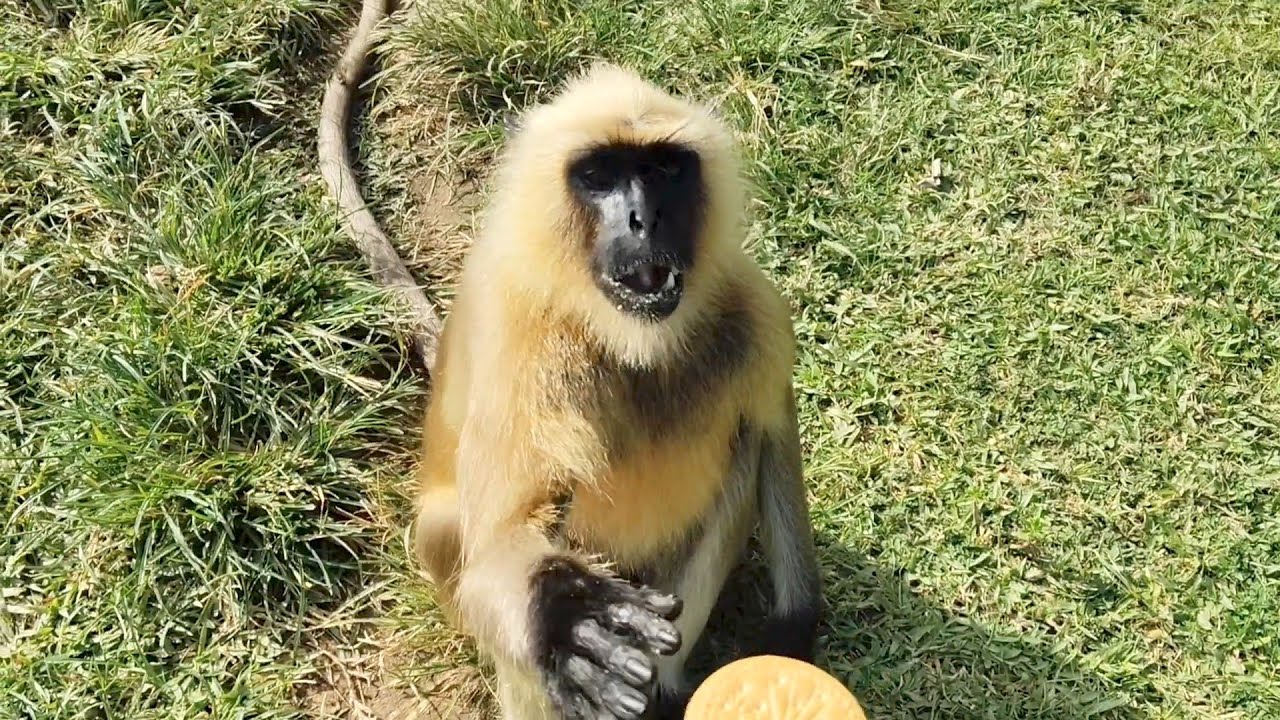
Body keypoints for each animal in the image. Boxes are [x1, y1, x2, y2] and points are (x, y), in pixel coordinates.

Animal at [411, 63, 822, 720]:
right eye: (599, 175)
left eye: (663, 171)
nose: (641, 220)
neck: (622, 334)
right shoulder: (518, 340)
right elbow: (498, 549)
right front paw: (563, 616)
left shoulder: (750, 304)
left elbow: (773, 428)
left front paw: (791, 634)